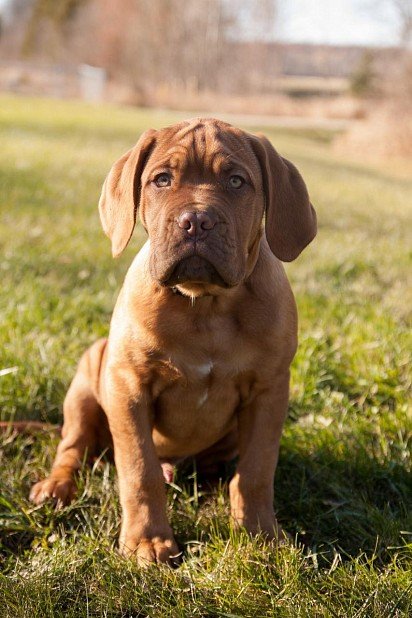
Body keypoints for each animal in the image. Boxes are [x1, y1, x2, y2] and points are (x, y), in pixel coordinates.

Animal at [30, 116, 318, 564]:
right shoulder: (129, 387)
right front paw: (148, 541)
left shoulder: (268, 391)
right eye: (161, 179)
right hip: (86, 381)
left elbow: (256, 470)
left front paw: (259, 534)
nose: (196, 221)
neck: (204, 306)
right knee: (73, 449)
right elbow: (139, 470)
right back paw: (56, 487)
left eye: (236, 181)